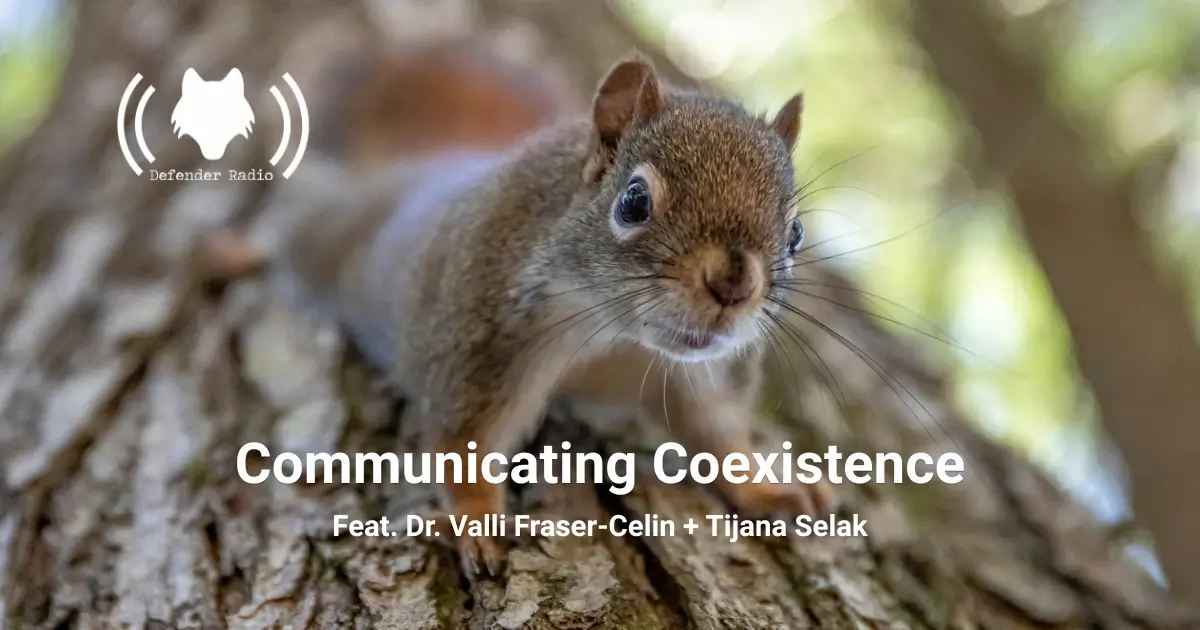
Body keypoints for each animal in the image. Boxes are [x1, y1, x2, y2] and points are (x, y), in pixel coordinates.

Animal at [206, 42, 835, 577]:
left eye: (796, 234)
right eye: (634, 202)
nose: (733, 287)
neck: (615, 335)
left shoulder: (702, 375)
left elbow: (722, 436)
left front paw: (766, 487)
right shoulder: (478, 337)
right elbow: (463, 443)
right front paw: (477, 521)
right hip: (323, 239)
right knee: (287, 229)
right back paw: (240, 250)